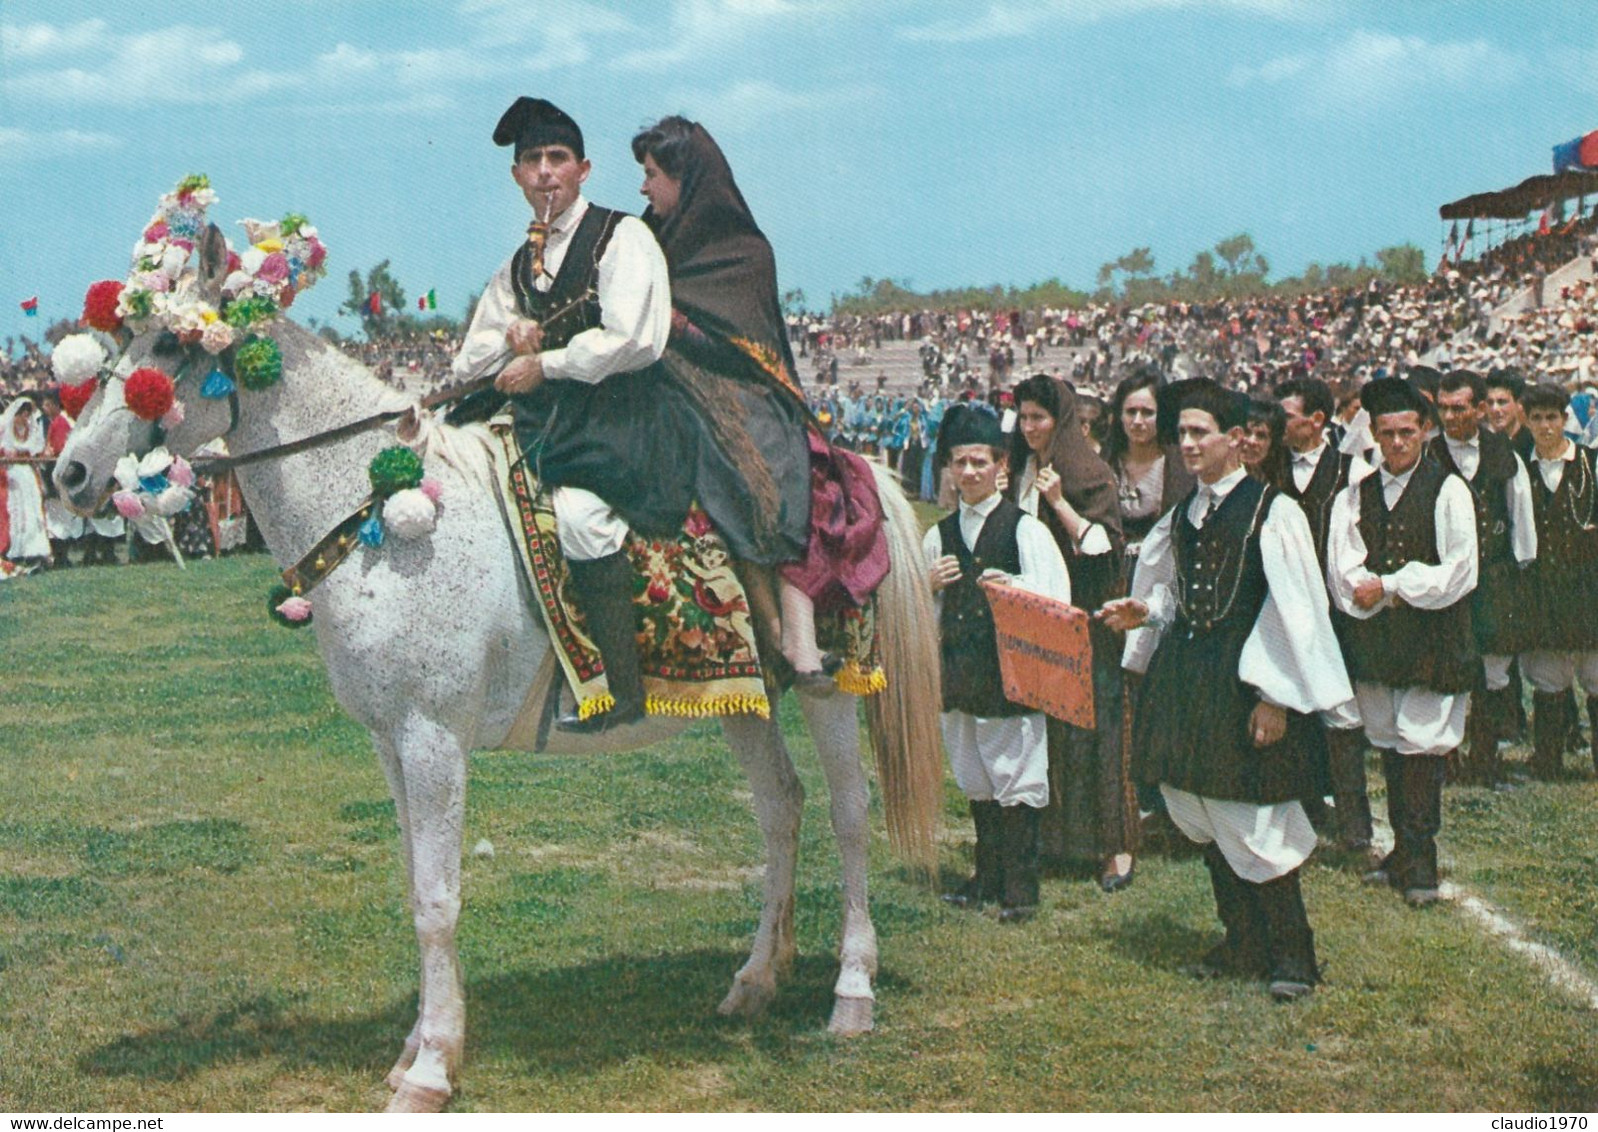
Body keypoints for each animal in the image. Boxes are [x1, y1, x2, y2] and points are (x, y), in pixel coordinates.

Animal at [56, 223, 939, 1112]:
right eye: (123, 336)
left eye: (170, 343)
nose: (71, 473)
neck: (385, 516)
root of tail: (853, 466)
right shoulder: (390, 742)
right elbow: (416, 885)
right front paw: (416, 1047)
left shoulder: (432, 738)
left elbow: (438, 900)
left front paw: (431, 1068)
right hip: (742, 700)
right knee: (781, 808)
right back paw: (755, 980)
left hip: (828, 686)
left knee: (849, 814)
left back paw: (851, 993)